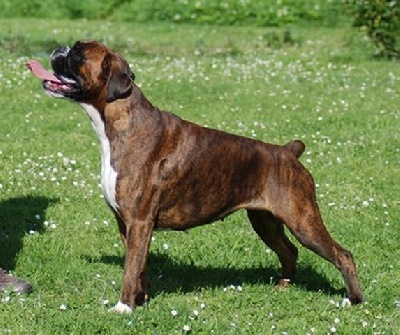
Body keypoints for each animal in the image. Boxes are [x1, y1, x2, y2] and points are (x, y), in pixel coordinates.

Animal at [25, 40, 362, 314]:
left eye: (77, 53)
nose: (57, 49)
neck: (119, 122)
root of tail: (287, 151)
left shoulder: (139, 222)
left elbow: (130, 268)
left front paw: (124, 307)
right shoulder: (127, 224)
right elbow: (139, 267)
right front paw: (140, 301)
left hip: (302, 220)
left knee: (342, 254)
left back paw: (353, 300)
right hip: (265, 221)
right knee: (289, 250)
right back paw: (283, 286)